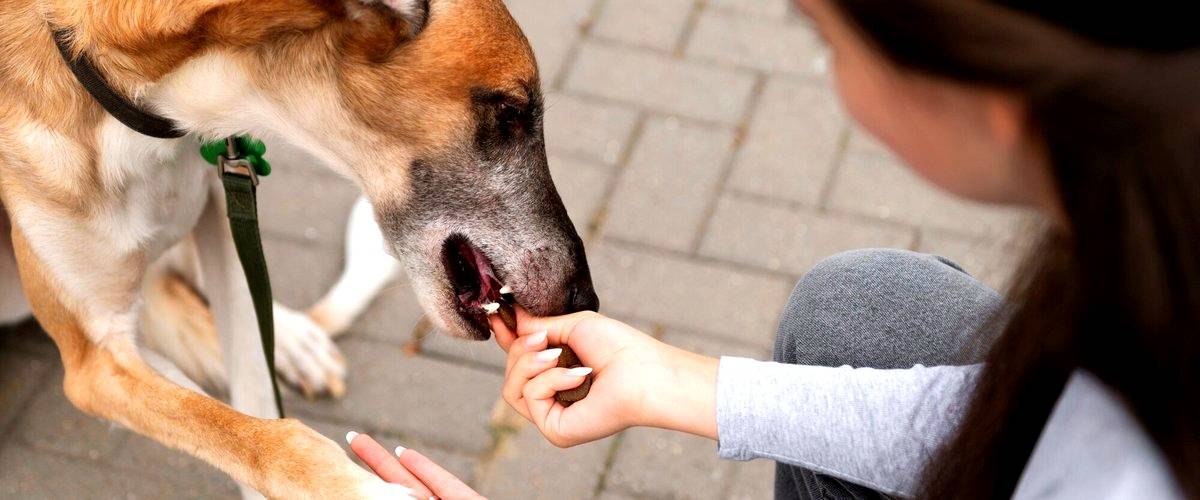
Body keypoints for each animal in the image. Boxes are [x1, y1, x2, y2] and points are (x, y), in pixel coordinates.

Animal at [0, 0, 600, 494]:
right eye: (511, 113)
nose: (585, 300)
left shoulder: (221, 208)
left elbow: (254, 397)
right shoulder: (95, 360)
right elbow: (264, 436)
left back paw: (294, 341)